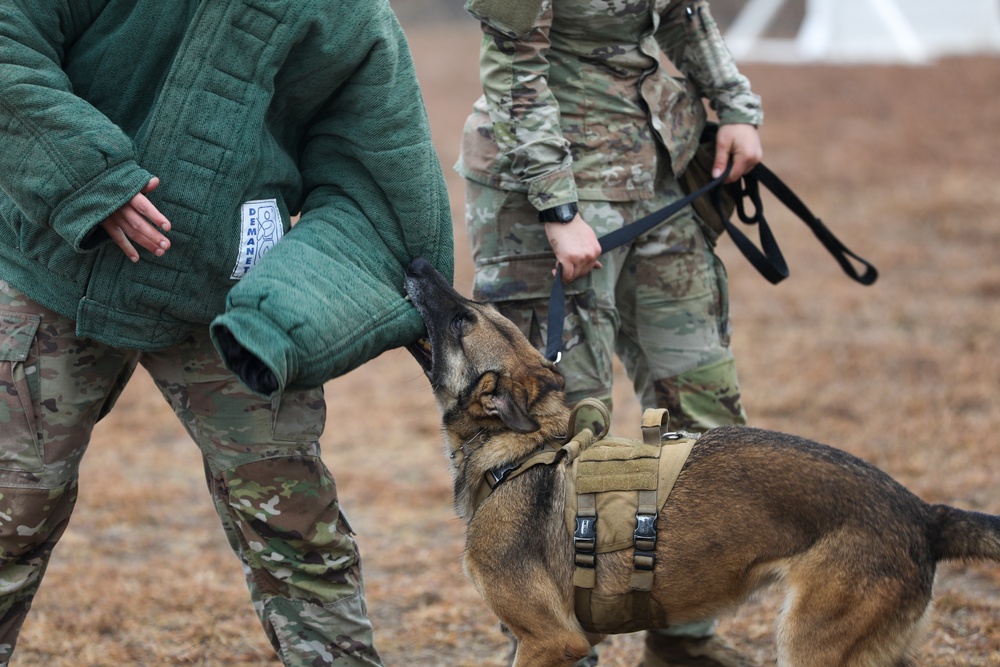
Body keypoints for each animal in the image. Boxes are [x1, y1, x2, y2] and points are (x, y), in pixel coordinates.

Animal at [402, 258, 996, 667]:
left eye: (461, 320)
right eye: (472, 309)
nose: (418, 264)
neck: (520, 450)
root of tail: (924, 513)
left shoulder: (551, 640)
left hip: (807, 645)